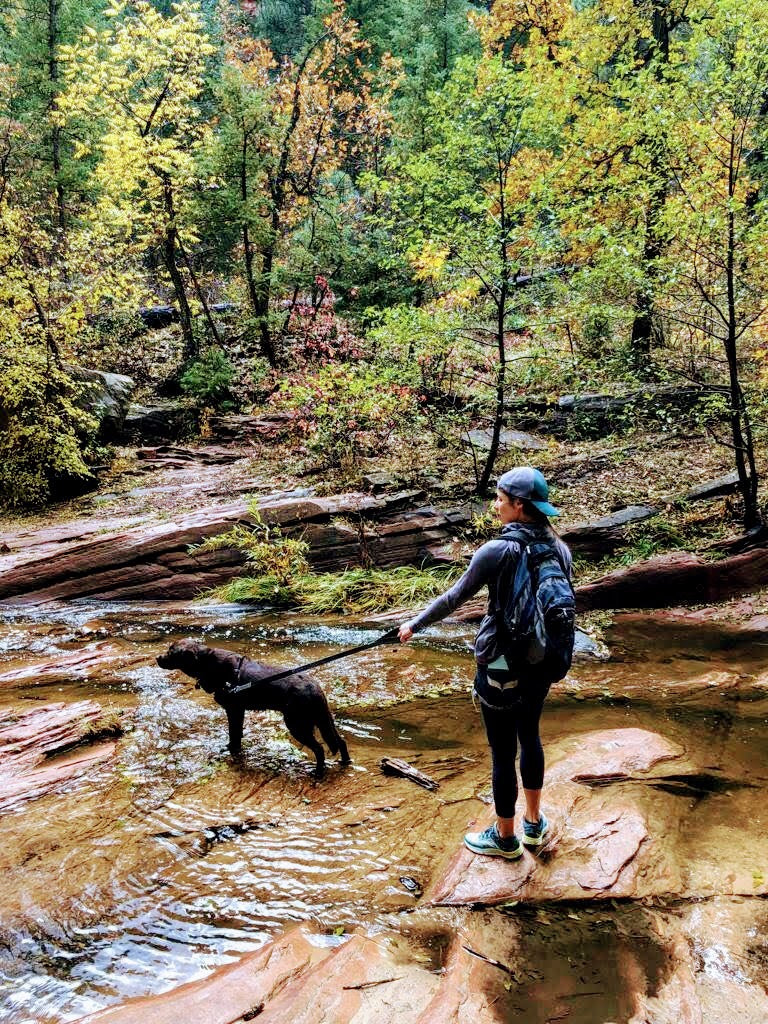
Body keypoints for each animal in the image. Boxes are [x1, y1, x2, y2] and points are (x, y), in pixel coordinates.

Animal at [159, 634, 352, 770]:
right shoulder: (239, 711)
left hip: (297, 724)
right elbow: (237, 734)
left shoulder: (234, 710)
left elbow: (234, 734)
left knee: (319, 749)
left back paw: (317, 773)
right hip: (325, 719)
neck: (208, 664)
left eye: (171, 652)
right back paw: (345, 762)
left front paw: (231, 749)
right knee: (340, 741)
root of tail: (315, 688)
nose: (157, 658)